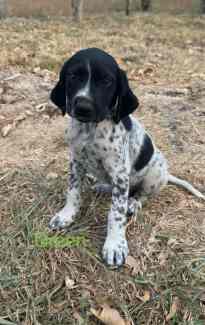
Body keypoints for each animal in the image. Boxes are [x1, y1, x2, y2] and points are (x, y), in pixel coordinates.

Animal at [48, 48, 204, 266]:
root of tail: (166, 174)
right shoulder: (75, 162)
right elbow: (73, 191)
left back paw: (133, 203)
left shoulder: (120, 173)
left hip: (155, 173)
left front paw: (115, 244)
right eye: (73, 76)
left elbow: (116, 213)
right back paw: (103, 187)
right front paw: (66, 215)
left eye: (106, 81)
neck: (90, 130)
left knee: (142, 195)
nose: (83, 107)